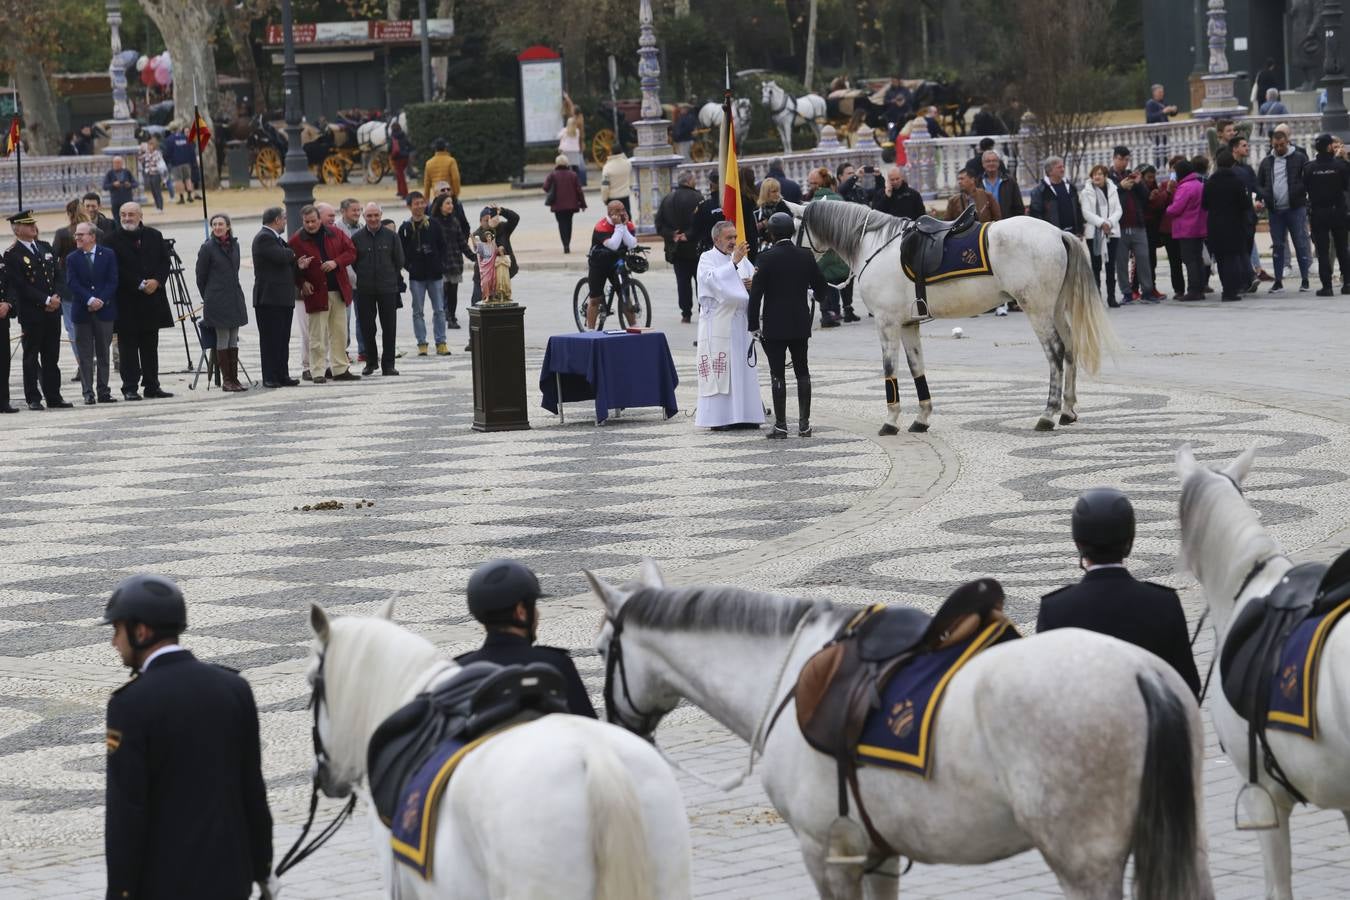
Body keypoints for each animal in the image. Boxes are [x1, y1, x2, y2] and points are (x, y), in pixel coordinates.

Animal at [588, 564, 1215, 900]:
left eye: (598, 652)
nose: (618, 728)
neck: (786, 674)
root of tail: (1140, 674)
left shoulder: (825, 853)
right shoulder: (877, 853)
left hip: (1084, 864)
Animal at [788, 198, 1117, 437]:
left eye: (790, 230)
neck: (874, 246)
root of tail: (1057, 232)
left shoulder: (887, 323)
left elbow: (889, 370)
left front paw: (891, 421)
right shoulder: (908, 325)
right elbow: (917, 369)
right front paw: (921, 418)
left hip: (1037, 310)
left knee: (1056, 353)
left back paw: (1047, 414)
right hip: (1055, 309)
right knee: (1070, 350)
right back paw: (1068, 411)